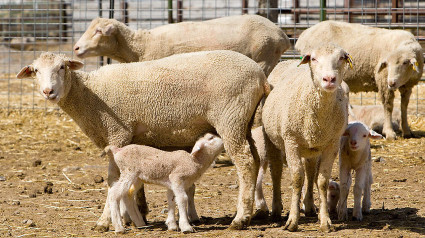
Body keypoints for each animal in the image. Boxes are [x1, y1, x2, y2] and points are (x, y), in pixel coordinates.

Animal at [16, 49, 268, 231]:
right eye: (36, 70)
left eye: (62, 67)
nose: (48, 92)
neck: (90, 94)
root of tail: (260, 75)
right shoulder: (122, 139)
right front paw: (133, 216)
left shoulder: (118, 132)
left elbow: (112, 179)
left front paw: (105, 221)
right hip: (244, 121)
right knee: (255, 160)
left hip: (231, 117)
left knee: (245, 162)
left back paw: (240, 219)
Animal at [262, 43, 352, 231]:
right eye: (314, 58)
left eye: (342, 58)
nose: (329, 79)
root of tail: (290, 60)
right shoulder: (291, 142)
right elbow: (297, 179)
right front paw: (292, 220)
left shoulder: (331, 144)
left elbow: (322, 181)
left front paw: (325, 221)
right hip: (272, 138)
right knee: (276, 172)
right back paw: (276, 208)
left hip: (313, 147)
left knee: (310, 173)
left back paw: (310, 206)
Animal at [294, 20, 424, 140]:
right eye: (387, 64)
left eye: (405, 62)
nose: (391, 82)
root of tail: (304, 34)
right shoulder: (383, 81)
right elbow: (388, 106)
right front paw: (389, 132)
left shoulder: (408, 86)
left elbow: (404, 106)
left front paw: (406, 130)